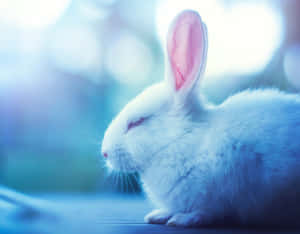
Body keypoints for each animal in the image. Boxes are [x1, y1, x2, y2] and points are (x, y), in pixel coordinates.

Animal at [102, 10, 300, 228]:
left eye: (137, 122)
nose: (104, 153)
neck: (180, 140)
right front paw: (159, 215)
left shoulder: (223, 193)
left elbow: (208, 211)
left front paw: (183, 219)